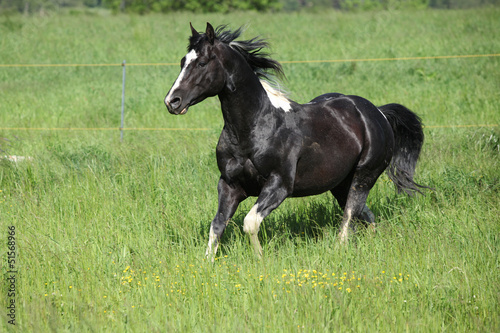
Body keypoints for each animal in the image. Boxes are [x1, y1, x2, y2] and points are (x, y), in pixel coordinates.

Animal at [164, 22, 426, 258]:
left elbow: (250, 222)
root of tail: (378, 113)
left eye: (202, 62)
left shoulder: (279, 185)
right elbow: (217, 225)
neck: (255, 129)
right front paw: (208, 263)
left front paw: (259, 260)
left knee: (350, 216)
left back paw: (338, 251)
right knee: (365, 215)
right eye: (182, 62)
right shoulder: (229, 184)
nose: (172, 101)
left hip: (364, 176)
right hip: (340, 183)